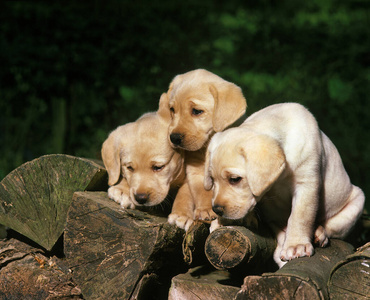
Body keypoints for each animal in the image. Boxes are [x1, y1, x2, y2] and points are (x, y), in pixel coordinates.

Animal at [163, 69, 247, 230]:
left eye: (196, 111)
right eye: (172, 110)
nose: (174, 138)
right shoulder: (195, 170)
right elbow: (202, 191)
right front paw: (206, 209)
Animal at [205, 103, 364, 268]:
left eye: (235, 179)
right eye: (212, 179)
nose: (216, 210)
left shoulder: (306, 184)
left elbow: (300, 216)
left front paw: (296, 245)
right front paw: (224, 221)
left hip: (355, 205)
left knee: (329, 227)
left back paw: (319, 233)